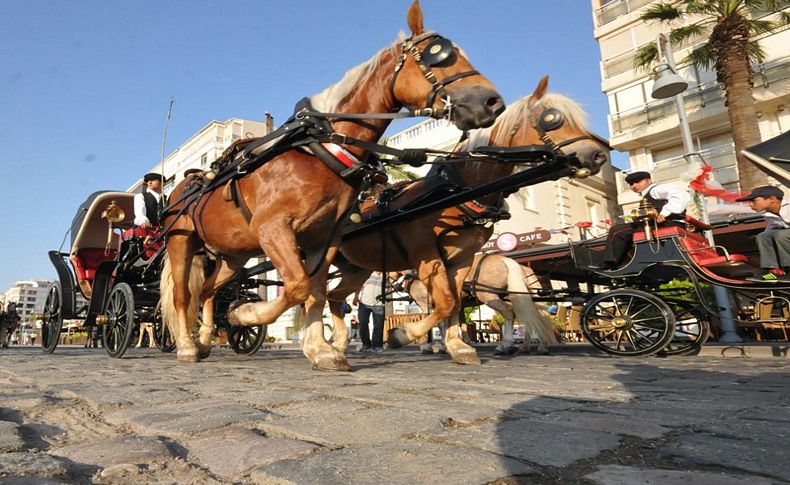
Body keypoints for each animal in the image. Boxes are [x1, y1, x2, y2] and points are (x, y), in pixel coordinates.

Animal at [162, 1, 508, 368]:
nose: (492, 102)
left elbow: (313, 290)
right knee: (184, 294)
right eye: (438, 54)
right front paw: (246, 315)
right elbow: (297, 286)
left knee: (209, 290)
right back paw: (187, 345)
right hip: (181, 242)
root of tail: (185, 187)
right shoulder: (273, 228)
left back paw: (203, 339)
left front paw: (319, 348)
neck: (322, 149)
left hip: (234, 255)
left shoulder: (323, 238)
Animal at [324, 75, 608, 364]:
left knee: (332, 297)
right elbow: (445, 304)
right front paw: (407, 337)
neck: (453, 194)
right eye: (552, 118)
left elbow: (452, 304)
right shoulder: (426, 256)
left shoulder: (460, 261)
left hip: (356, 268)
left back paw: (338, 343)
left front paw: (455, 346)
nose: (598, 155)